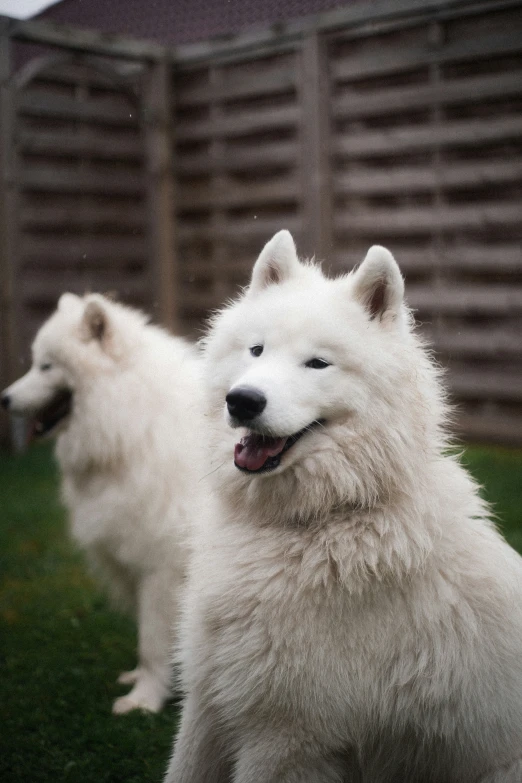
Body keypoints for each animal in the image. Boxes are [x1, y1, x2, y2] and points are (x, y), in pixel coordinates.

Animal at [2, 294, 205, 716]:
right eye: (34, 361)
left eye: (47, 366)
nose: (4, 399)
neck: (133, 421)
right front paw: (145, 683)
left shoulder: (160, 570)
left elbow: (152, 643)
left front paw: (144, 699)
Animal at [166, 233, 520, 783]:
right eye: (256, 349)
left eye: (317, 364)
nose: (242, 400)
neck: (319, 521)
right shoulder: (207, 706)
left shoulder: (287, 738)